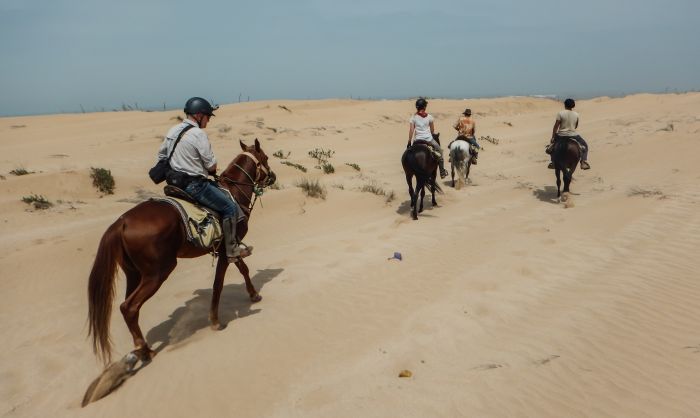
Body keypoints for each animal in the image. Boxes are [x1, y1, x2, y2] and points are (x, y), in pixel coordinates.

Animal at [86, 140, 274, 362]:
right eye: (266, 158)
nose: (273, 176)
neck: (233, 193)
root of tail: (121, 222)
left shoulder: (229, 249)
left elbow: (243, 269)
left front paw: (254, 294)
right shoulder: (228, 248)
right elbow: (218, 284)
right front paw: (215, 320)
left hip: (133, 272)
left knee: (128, 306)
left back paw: (141, 349)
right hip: (158, 272)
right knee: (129, 307)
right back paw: (145, 350)